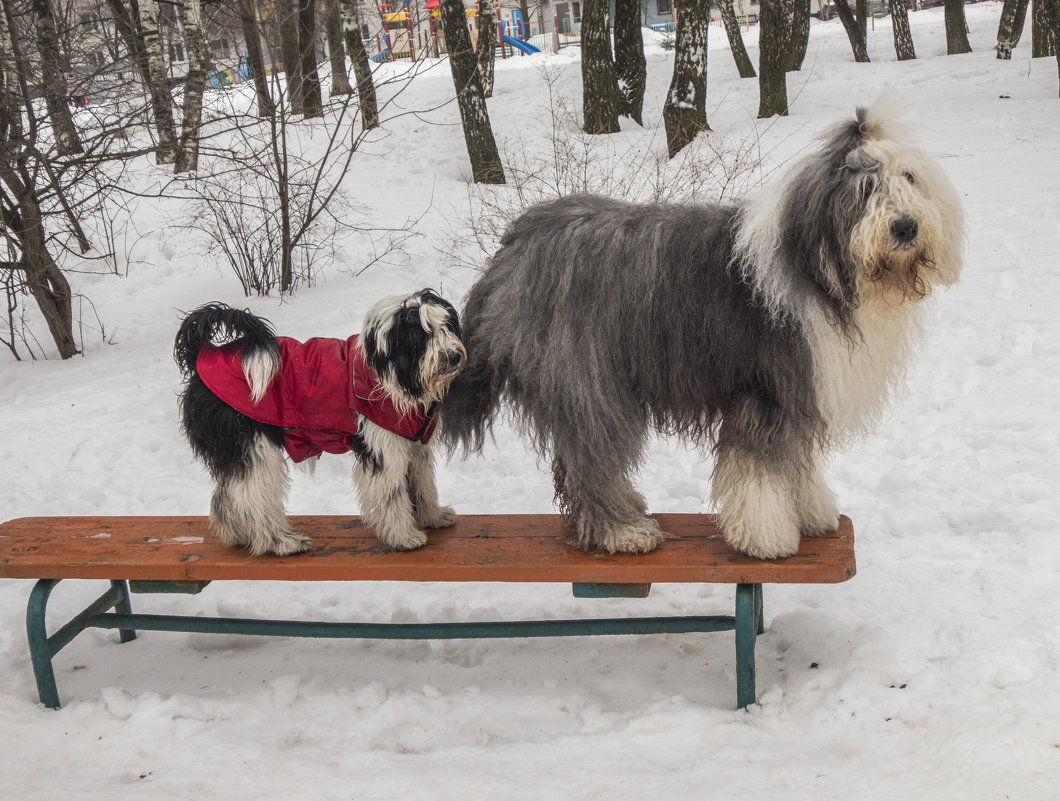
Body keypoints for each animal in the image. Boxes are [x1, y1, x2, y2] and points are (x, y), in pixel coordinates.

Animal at [173, 290, 464, 555]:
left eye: (447, 326)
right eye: (421, 335)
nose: (453, 356)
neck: (390, 371)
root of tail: (202, 357)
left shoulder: (414, 447)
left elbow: (422, 484)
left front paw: (433, 517)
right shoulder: (383, 448)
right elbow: (392, 495)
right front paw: (404, 536)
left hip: (233, 451)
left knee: (225, 495)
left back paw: (238, 535)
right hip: (252, 446)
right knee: (253, 498)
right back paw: (281, 542)